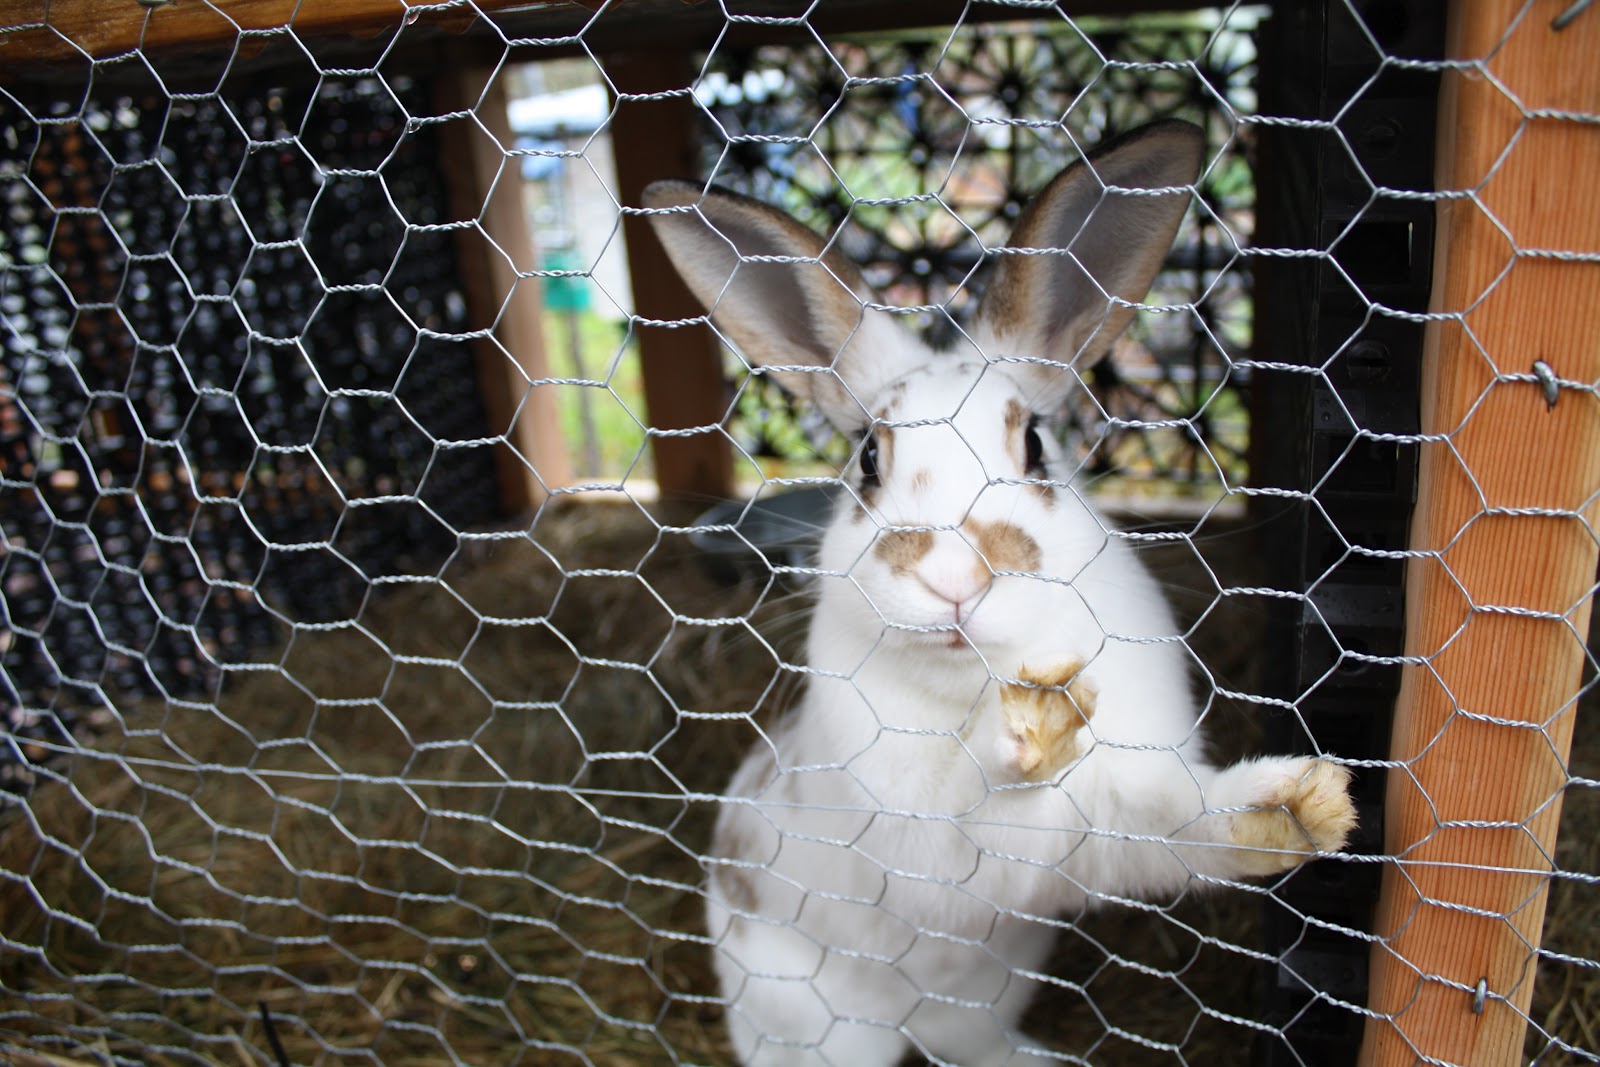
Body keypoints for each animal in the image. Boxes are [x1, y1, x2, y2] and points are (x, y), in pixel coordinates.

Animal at [643, 118, 1356, 1067]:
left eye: (1037, 447)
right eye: (867, 460)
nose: (956, 577)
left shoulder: (1117, 810)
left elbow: (1173, 820)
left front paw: (1303, 806)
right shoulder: (932, 842)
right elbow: (980, 804)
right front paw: (1032, 723)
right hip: (805, 1020)